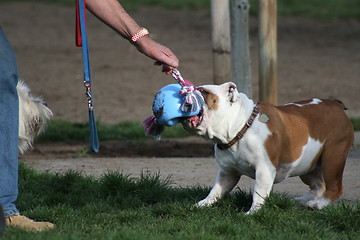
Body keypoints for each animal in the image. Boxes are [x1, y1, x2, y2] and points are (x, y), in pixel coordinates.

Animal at [181, 82, 352, 214]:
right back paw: (304, 201)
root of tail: (335, 104)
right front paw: (202, 204)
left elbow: (259, 192)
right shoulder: (228, 172)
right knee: (319, 186)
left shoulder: (264, 169)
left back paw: (319, 204)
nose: (185, 91)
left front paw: (253, 212)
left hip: (333, 157)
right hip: (308, 165)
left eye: (204, 91)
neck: (240, 128)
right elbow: (216, 190)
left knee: (335, 187)